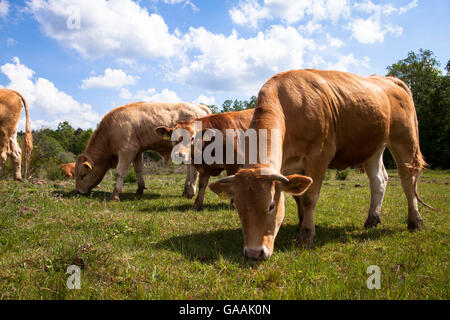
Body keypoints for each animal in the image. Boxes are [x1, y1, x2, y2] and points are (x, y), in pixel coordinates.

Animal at [74, 102, 210, 200]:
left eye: (83, 175)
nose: (77, 191)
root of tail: (199, 106)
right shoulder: (137, 151)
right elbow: (138, 170)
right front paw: (139, 190)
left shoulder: (126, 151)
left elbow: (120, 172)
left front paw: (115, 195)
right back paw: (185, 191)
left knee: (193, 169)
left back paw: (190, 191)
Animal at [209, 69, 434, 260]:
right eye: (238, 207)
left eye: (271, 206)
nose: (254, 253)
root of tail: (389, 79)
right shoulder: (291, 167)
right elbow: (298, 197)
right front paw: (301, 223)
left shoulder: (318, 156)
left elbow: (309, 198)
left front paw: (307, 235)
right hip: (373, 146)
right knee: (379, 180)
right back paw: (372, 219)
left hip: (404, 139)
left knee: (407, 179)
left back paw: (414, 221)